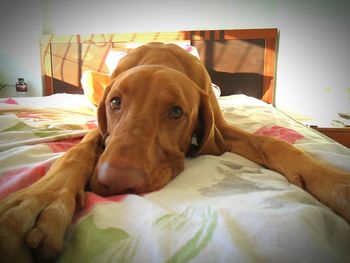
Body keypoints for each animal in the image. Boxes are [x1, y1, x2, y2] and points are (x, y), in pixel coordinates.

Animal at [0, 42, 350, 262]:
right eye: (116, 103)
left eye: (176, 112)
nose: (116, 182)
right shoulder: (101, 133)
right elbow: (78, 152)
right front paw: (39, 201)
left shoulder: (220, 134)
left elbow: (274, 143)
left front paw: (333, 181)